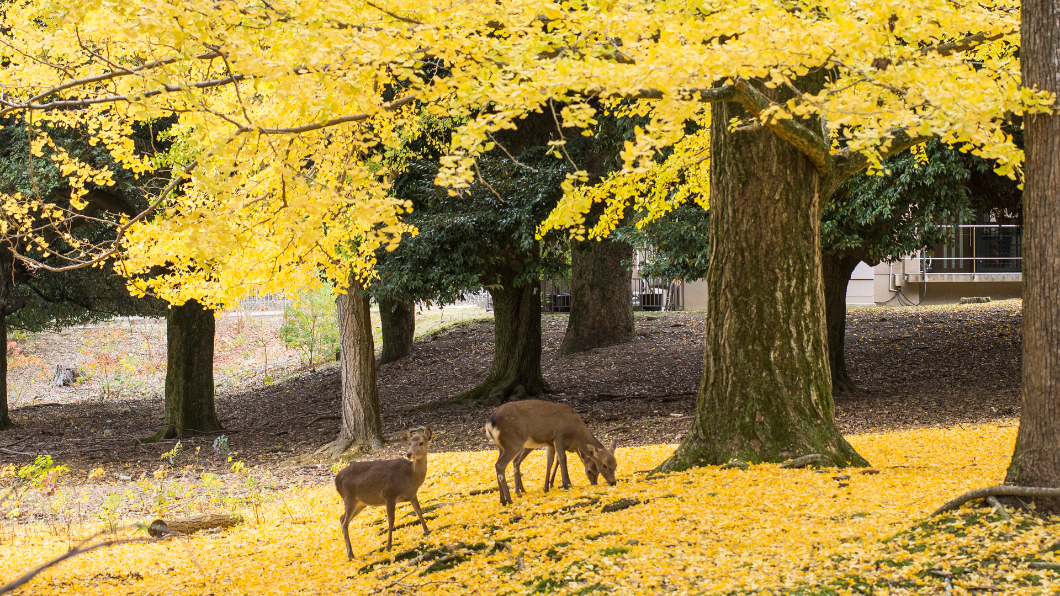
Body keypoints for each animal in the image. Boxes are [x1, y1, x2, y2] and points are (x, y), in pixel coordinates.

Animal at [334, 428, 432, 559]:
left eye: (421, 443)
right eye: (409, 443)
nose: (409, 454)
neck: (410, 476)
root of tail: (336, 481)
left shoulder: (412, 494)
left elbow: (419, 511)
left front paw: (426, 531)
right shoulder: (389, 494)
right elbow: (391, 520)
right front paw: (389, 546)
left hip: (360, 503)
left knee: (341, 518)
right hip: (349, 497)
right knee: (344, 522)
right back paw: (351, 555)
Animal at [484, 400, 618, 506]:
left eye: (616, 465)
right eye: (603, 465)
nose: (613, 482)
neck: (575, 434)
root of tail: (489, 423)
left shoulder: (550, 443)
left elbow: (550, 461)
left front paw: (546, 487)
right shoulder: (558, 436)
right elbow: (563, 459)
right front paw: (566, 484)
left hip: (502, 447)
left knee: (500, 464)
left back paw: (504, 499)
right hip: (513, 442)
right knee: (501, 465)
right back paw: (510, 499)